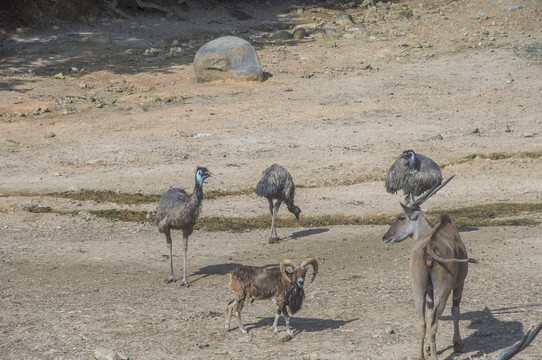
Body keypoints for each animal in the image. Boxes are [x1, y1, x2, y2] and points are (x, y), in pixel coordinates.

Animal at [384, 176, 478, 358]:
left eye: (401, 217)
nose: (385, 237)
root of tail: (428, 248)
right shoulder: (459, 284)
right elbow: (455, 310)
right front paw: (458, 344)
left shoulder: (428, 289)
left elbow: (427, 315)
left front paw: (428, 348)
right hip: (443, 289)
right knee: (433, 323)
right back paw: (435, 355)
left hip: (418, 288)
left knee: (422, 323)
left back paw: (421, 355)